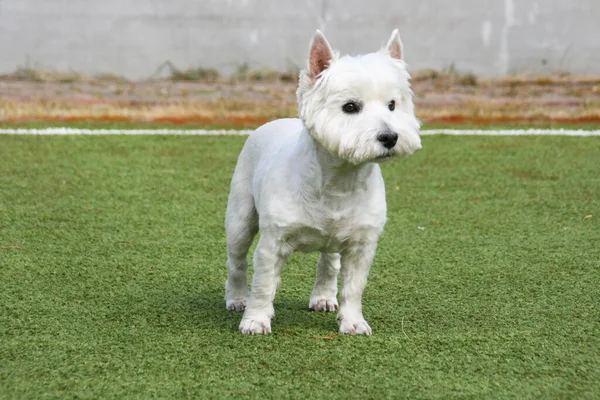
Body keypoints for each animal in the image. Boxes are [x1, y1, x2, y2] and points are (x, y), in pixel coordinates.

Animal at [223, 29, 420, 334]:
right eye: (350, 107)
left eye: (392, 105)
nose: (390, 137)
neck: (338, 180)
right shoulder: (272, 242)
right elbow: (263, 285)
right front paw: (255, 321)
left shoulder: (362, 244)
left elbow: (353, 287)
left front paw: (353, 322)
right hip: (240, 217)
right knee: (237, 261)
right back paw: (236, 299)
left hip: (336, 239)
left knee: (329, 262)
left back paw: (323, 297)